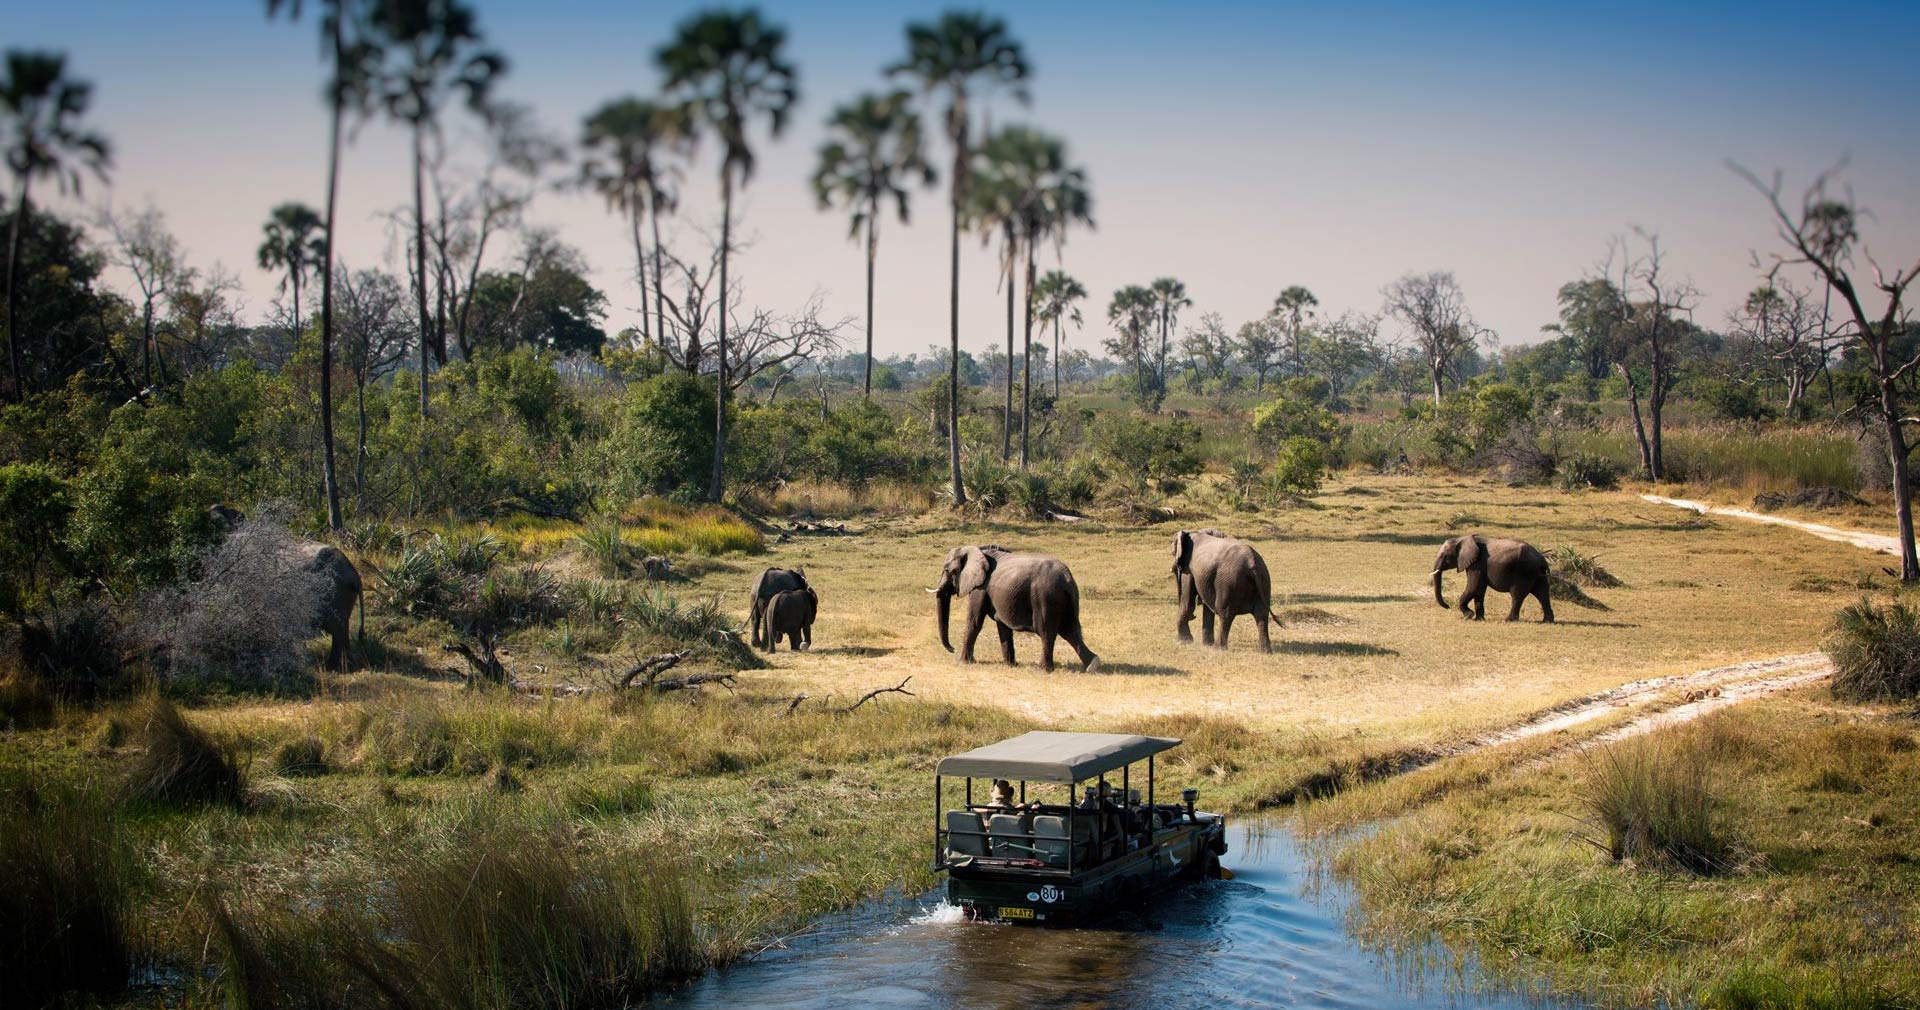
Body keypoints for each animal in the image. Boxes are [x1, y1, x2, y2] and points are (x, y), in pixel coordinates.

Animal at [929, 541, 1098, 675]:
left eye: (946, 570)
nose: (952, 649)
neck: (977, 549)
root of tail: (1067, 578)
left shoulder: (980, 588)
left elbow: (975, 621)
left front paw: (962, 662)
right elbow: (1003, 627)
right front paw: (1010, 665)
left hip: (1045, 597)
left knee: (1047, 632)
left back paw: (1042, 670)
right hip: (1067, 599)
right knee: (1070, 631)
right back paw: (1093, 666)